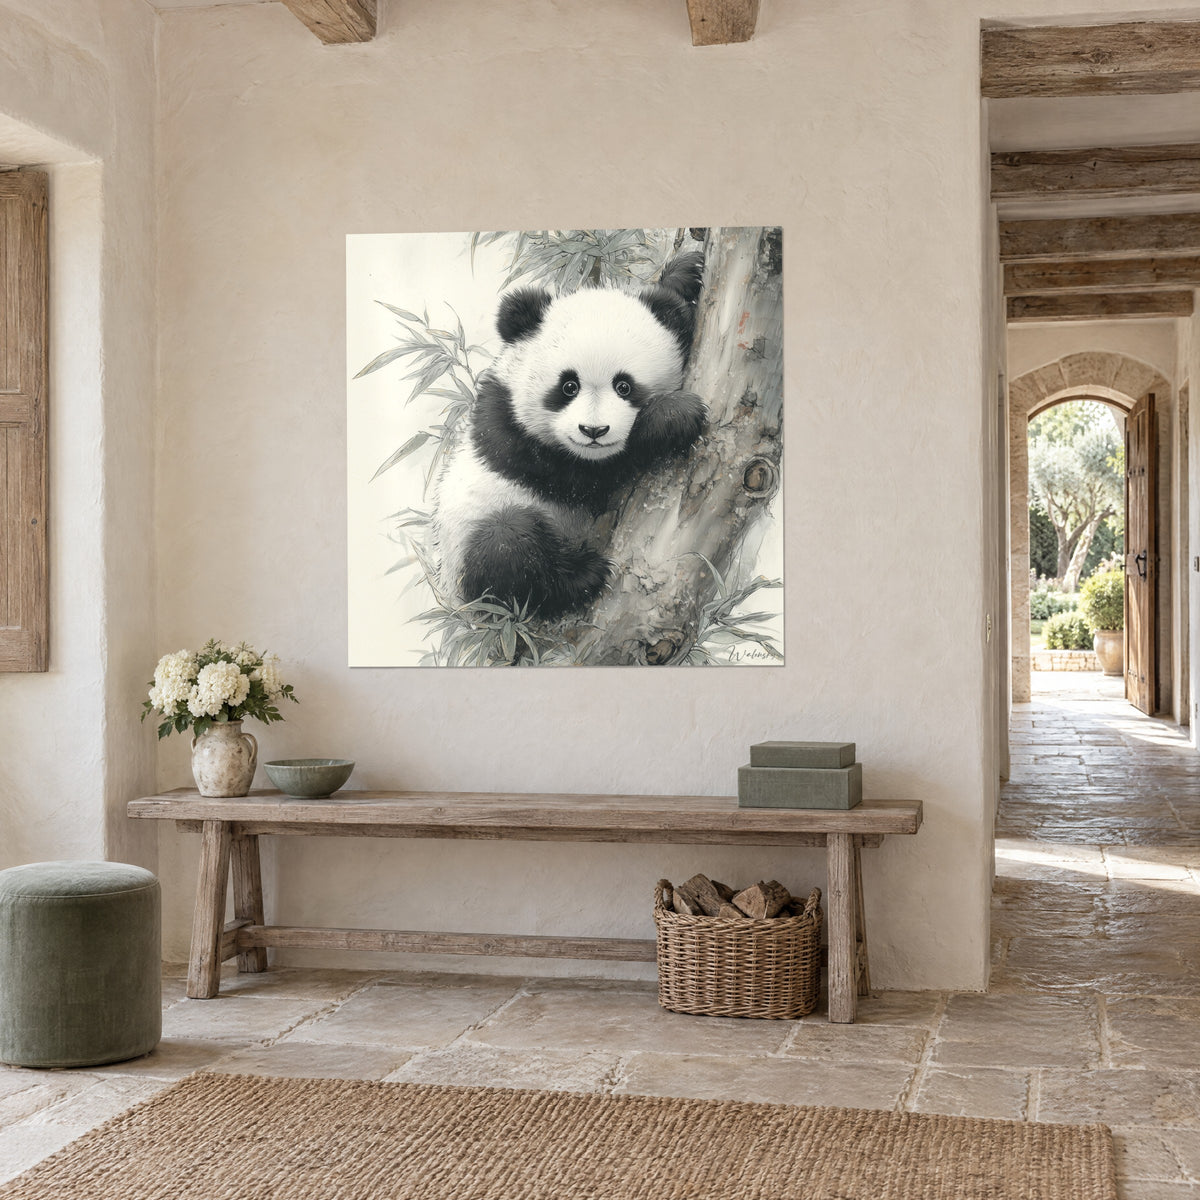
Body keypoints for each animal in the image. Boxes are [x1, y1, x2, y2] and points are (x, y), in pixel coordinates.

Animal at [431, 251, 707, 620]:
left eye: (624, 386)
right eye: (568, 386)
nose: (594, 431)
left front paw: (685, 274)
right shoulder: (509, 432)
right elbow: (589, 475)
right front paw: (674, 415)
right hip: (468, 554)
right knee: (508, 546)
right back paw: (581, 576)